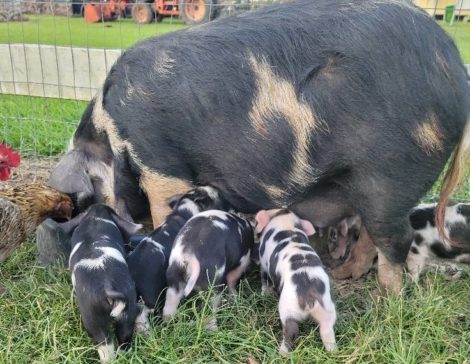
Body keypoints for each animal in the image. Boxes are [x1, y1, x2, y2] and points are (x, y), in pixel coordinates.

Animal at [47, 0, 470, 294]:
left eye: (86, 193)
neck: (110, 131)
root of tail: (457, 71)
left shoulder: (160, 162)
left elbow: (161, 206)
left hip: (395, 171)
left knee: (395, 239)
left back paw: (387, 299)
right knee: (371, 231)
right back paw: (346, 274)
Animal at [63, 205, 142, 364]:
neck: (95, 217)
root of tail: (107, 288)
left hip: (91, 316)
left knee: (104, 344)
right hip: (128, 307)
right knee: (123, 337)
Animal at [255, 209, 336, 354]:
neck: (287, 223)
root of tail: (309, 295)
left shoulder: (263, 263)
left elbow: (264, 278)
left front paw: (264, 294)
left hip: (288, 308)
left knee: (291, 330)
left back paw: (281, 353)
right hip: (327, 308)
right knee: (327, 329)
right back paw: (333, 351)